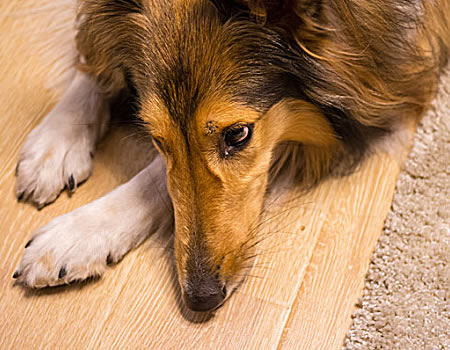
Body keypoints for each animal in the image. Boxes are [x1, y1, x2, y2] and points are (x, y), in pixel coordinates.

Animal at [12, 0, 448, 312]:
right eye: (155, 139)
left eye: (237, 134)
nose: (202, 299)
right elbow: (94, 51)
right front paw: (57, 139)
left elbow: (156, 180)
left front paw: (77, 234)